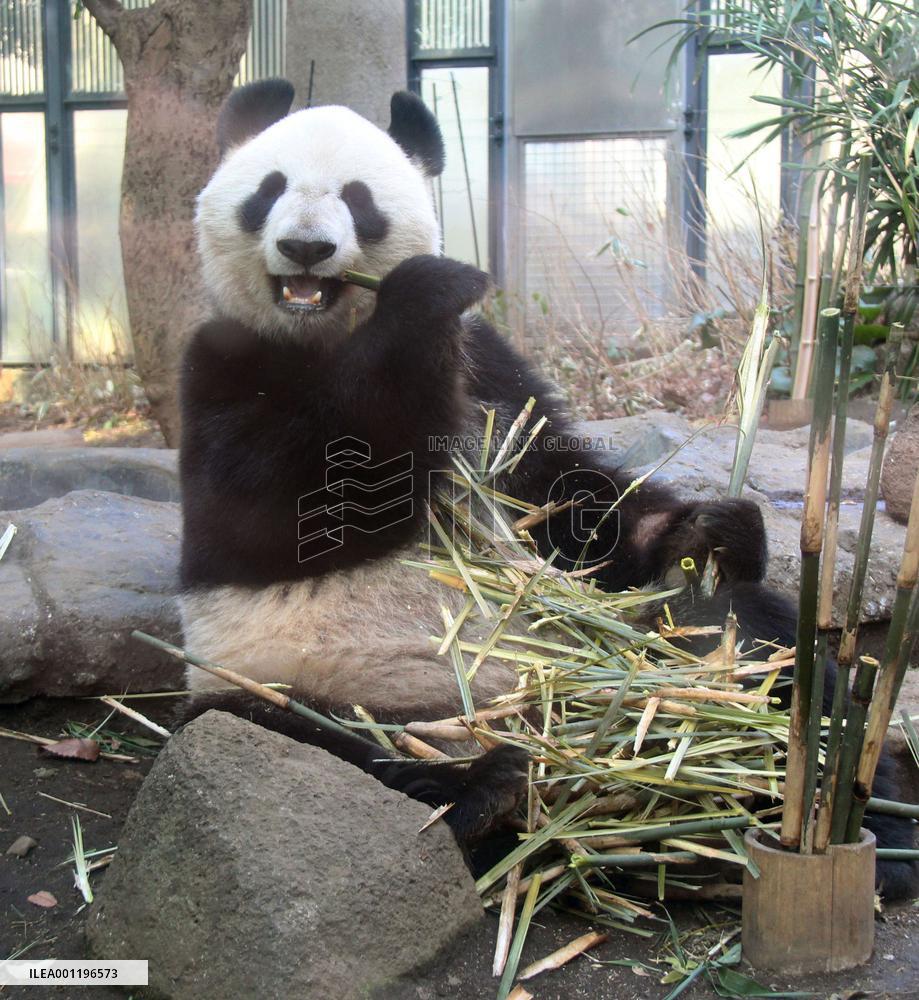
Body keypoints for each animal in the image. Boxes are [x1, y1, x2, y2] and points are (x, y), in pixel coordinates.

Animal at [178, 78, 916, 898]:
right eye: (269, 190)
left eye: (358, 199)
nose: (306, 247)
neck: (328, 333)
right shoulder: (220, 364)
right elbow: (286, 507)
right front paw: (421, 295)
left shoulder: (490, 372)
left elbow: (563, 498)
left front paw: (704, 527)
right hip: (291, 679)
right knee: (311, 741)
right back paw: (485, 793)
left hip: (662, 647)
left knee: (748, 634)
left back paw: (858, 818)